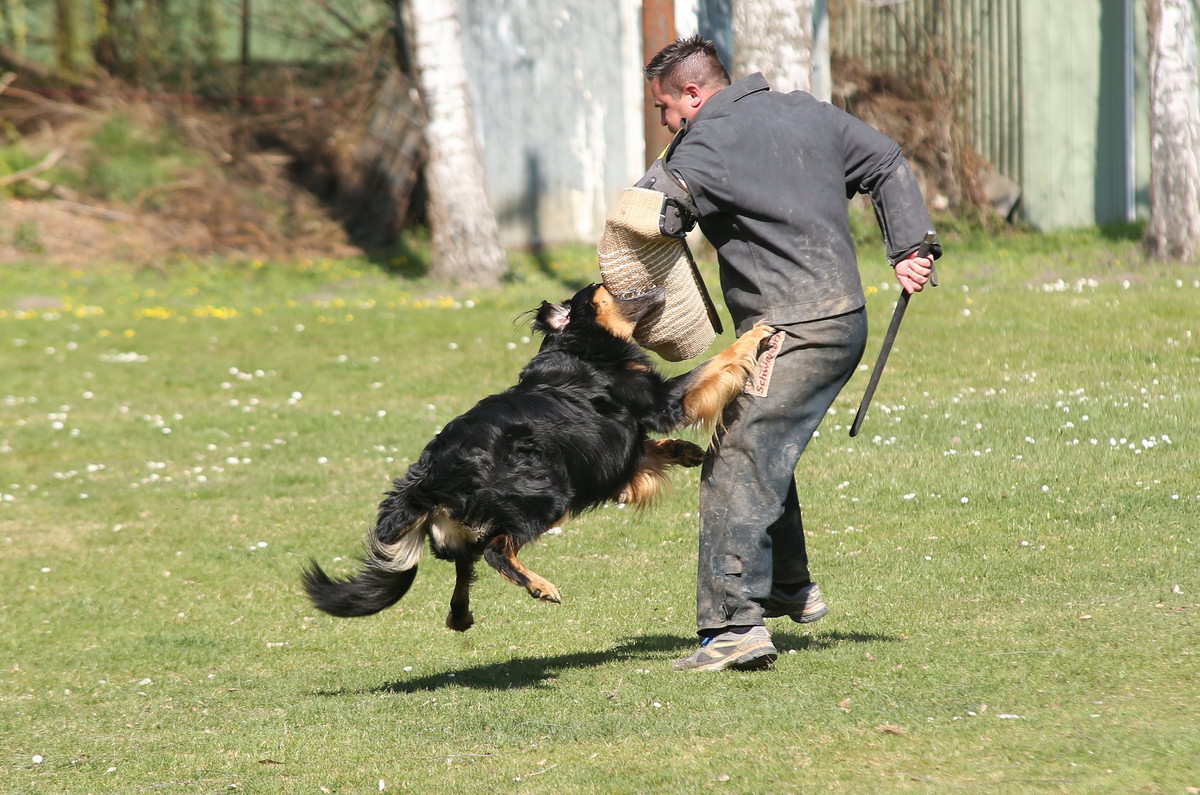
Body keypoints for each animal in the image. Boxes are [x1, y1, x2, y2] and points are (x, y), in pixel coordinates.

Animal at [300, 283, 768, 634]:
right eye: (602, 287)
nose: (637, 281)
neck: (581, 346)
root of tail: (429, 475)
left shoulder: (616, 446)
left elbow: (645, 451)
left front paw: (683, 451)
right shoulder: (660, 401)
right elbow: (714, 365)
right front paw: (755, 334)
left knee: (468, 560)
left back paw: (460, 615)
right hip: (544, 496)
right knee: (494, 551)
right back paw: (540, 586)